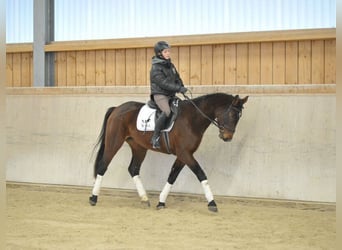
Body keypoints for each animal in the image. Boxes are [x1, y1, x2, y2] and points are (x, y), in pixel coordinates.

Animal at [89, 93, 248, 212]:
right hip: (114, 142)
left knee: (133, 169)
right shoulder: (185, 154)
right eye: (232, 114)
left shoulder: (183, 155)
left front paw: (161, 202)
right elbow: (201, 174)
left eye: (239, 116)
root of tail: (117, 108)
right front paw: (212, 203)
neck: (192, 118)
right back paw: (93, 198)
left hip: (139, 148)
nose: (227, 137)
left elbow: (172, 176)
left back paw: (144, 199)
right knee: (103, 166)